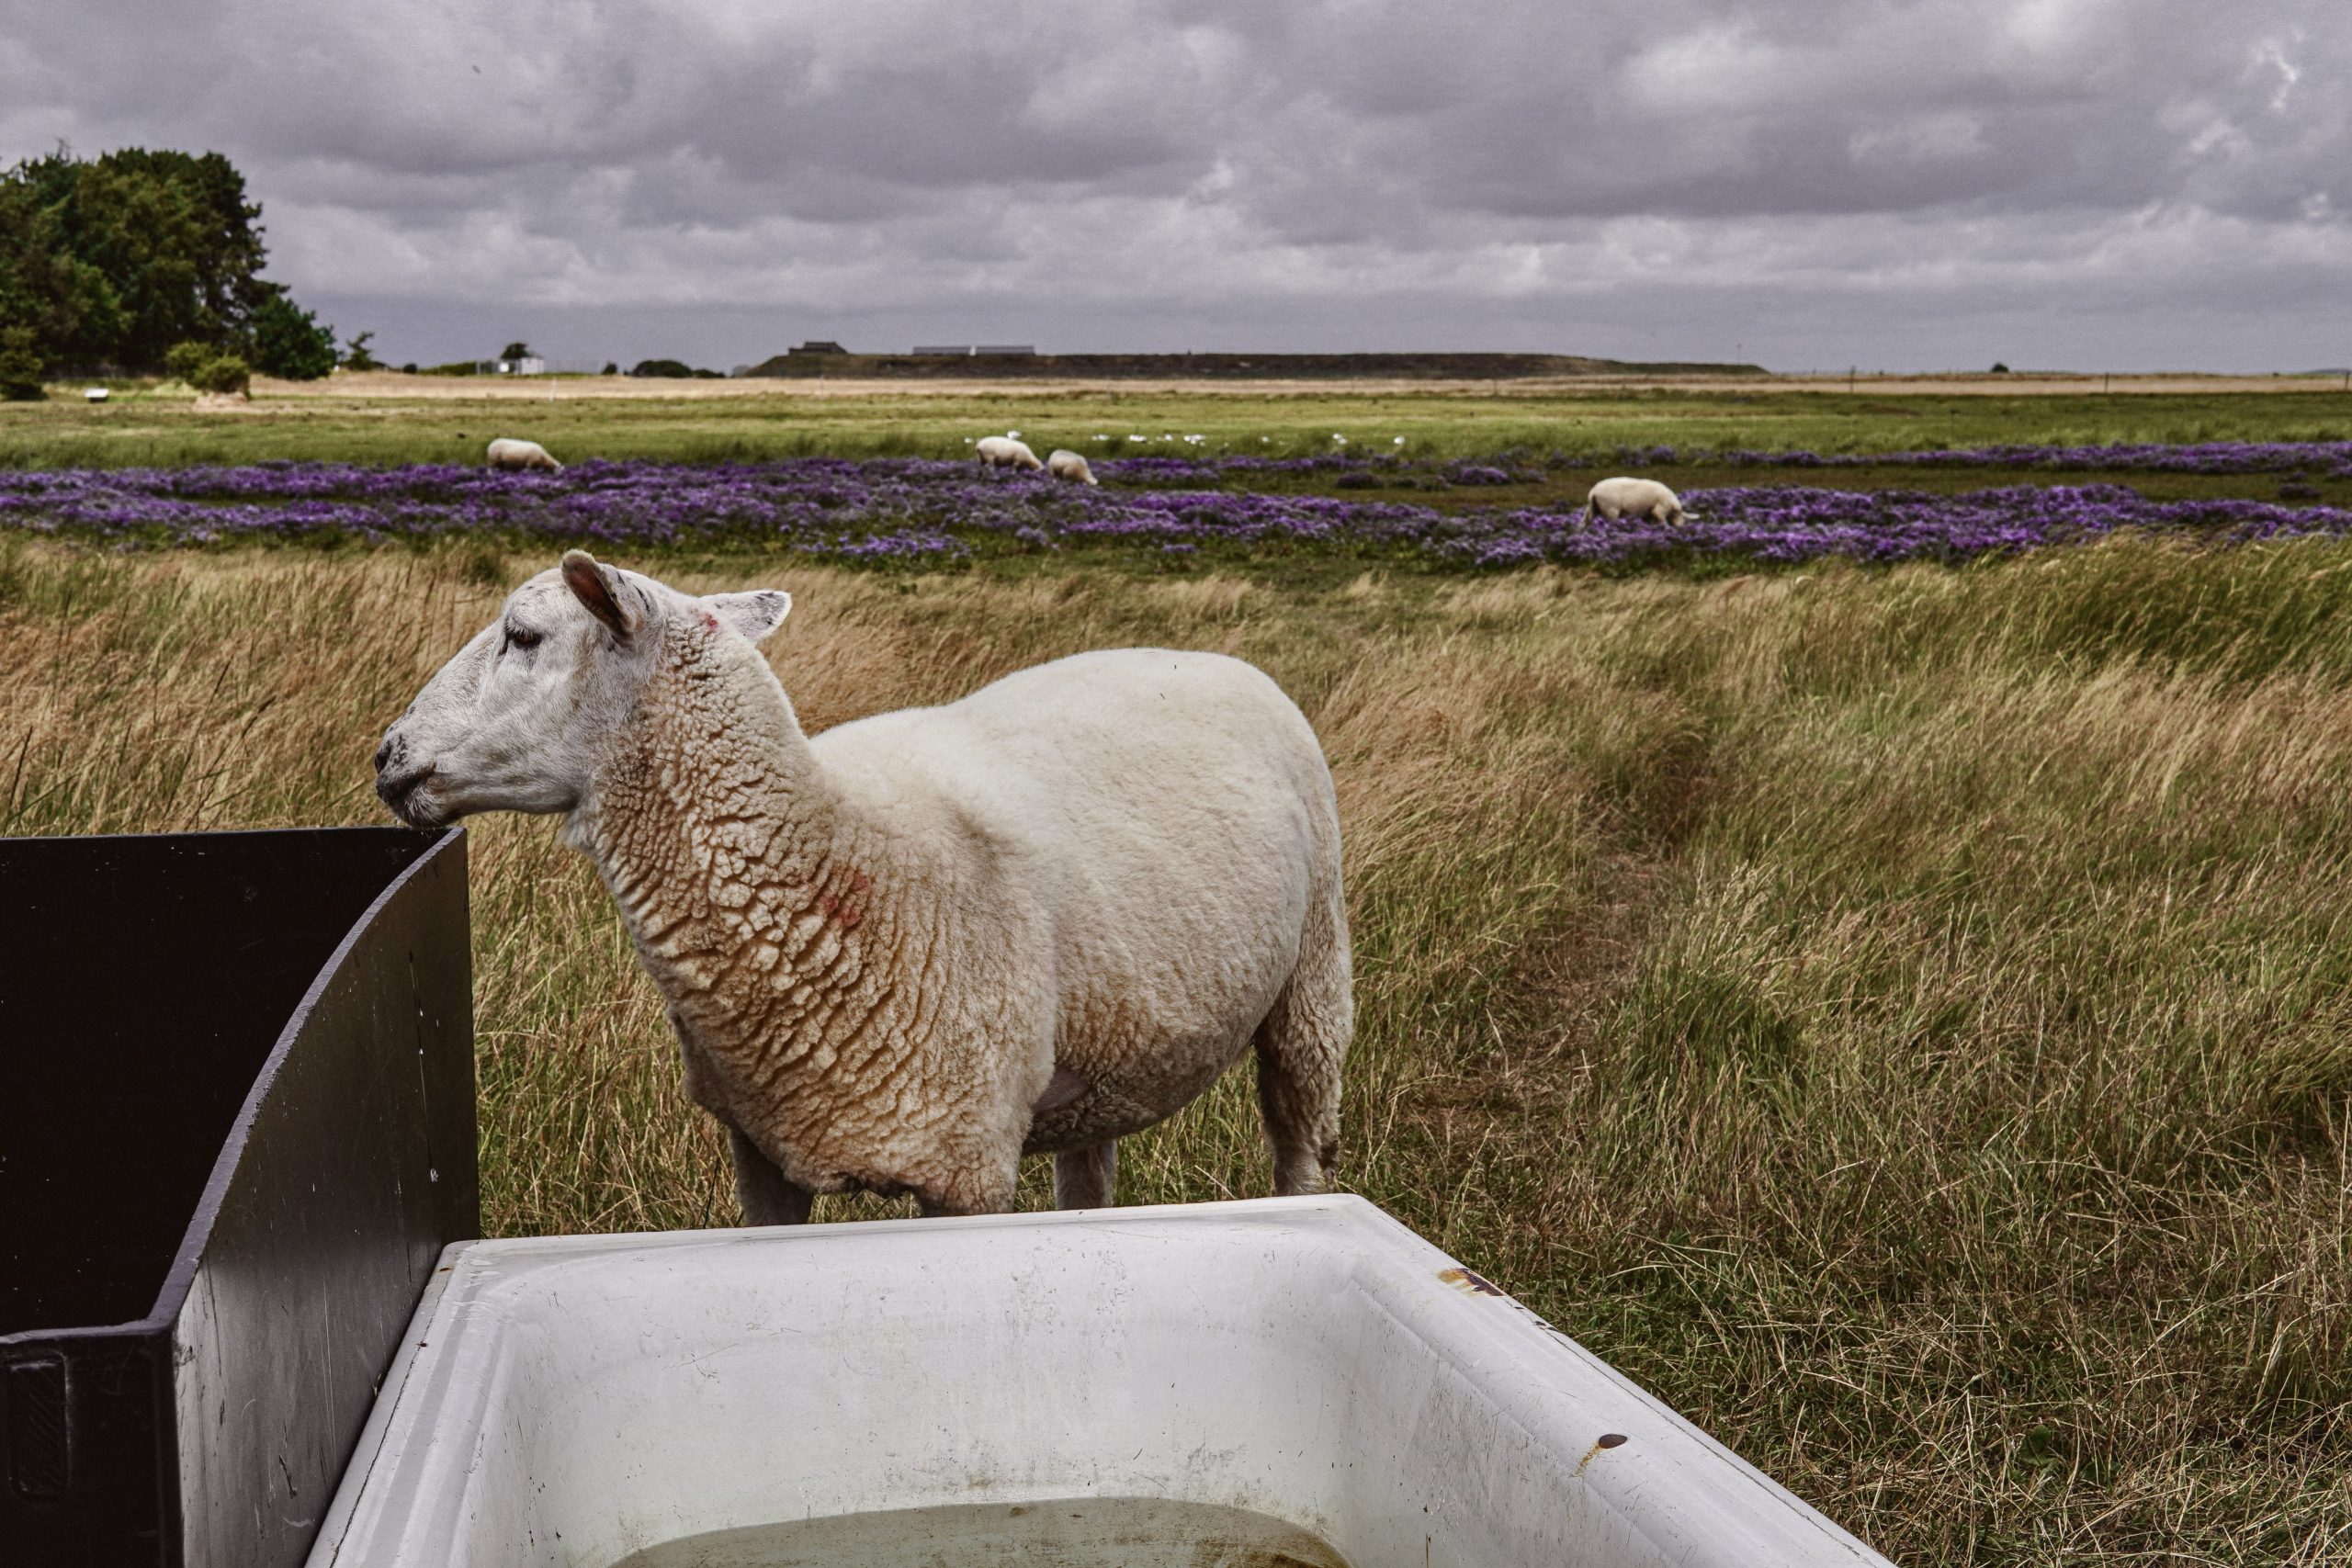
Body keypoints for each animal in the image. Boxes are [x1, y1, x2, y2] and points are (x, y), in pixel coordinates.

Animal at [376, 552, 1354, 1222]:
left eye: (524, 636)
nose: (386, 753)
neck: (825, 852)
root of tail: (1209, 656)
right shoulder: (759, 1146)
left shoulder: (968, 1166)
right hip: (1108, 1042)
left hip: (1314, 986)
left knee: (1300, 1141)